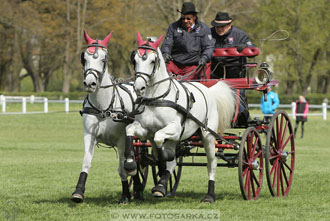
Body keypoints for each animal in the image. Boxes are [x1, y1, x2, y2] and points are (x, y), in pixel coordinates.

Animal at [71, 30, 144, 204]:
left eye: (103, 59)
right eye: (84, 58)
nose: (90, 83)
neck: (103, 108)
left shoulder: (122, 140)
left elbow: (122, 168)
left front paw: (125, 195)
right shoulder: (89, 135)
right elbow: (86, 162)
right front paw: (78, 192)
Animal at [125, 32, 236, 203]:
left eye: (152, 61)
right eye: (135, 59)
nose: (139, 87)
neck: (156, 98)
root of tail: (208, 90)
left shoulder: (175, 129)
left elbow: (160, 140)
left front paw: (163, 159)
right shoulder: (144, 130)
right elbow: (130, 130)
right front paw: (131, 164)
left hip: (207, 135)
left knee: (211, 163)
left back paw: (209, 195)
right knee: (171, 162)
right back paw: (161, 186)